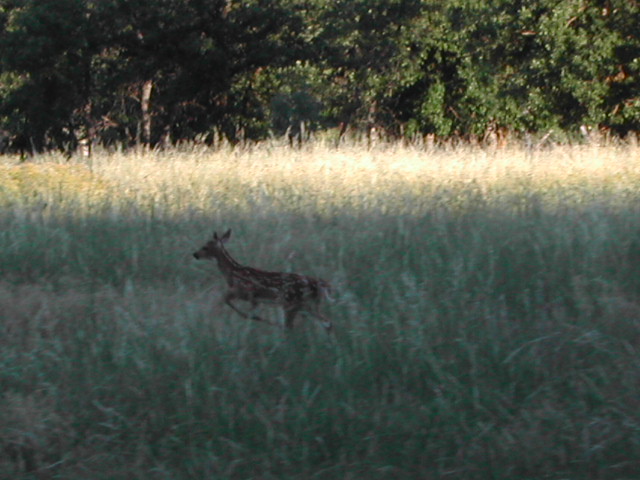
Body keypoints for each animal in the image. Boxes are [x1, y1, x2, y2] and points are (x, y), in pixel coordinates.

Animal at [191, 231, 332, 332]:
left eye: (205, 247)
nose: (195, 254)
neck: (233, 272)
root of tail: (320, 284)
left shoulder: (245, 292)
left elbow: (226, 300)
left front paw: (262, 320)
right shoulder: (254, 299)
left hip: (292, 303)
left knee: (293, 325)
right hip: (307, 304)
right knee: (326, 321)